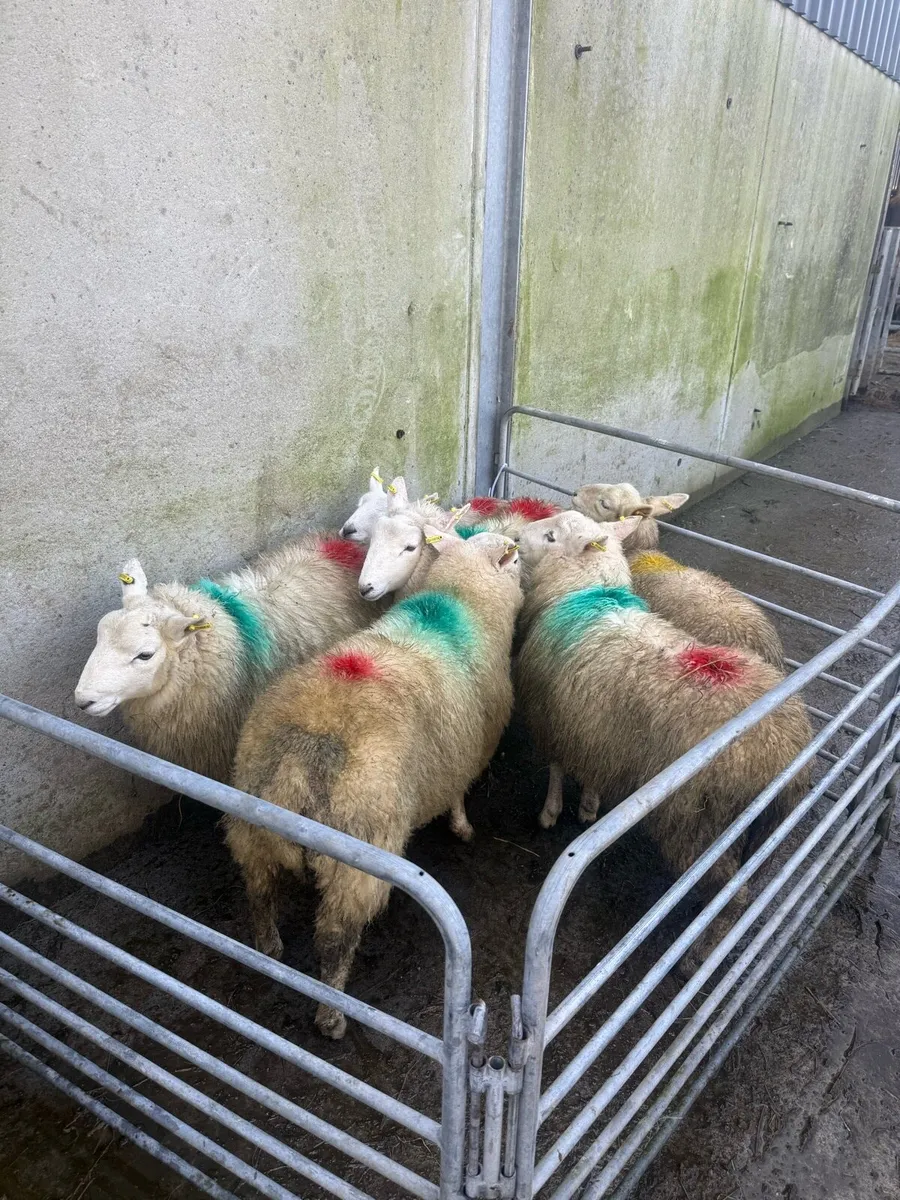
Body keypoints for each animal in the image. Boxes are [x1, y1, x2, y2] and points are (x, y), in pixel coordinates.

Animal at [224, 530, 523, 1037]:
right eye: (516, 558)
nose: (519, 550)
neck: (461, 601)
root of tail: (305, 755)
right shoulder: (468, 749)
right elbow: (458, 795)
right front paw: (463, 829)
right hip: (357, 853)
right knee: (334, 938)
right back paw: (332, 1015)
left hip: (253, 824)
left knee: (259, 891)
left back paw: (268, 947)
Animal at [515, 510, 811, 922]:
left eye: (551, 536)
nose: (513, 537)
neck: (583, 595)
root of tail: (784, 750)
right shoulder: (592, 728)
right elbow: (591, 772)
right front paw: (589, 806)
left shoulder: (550, 716)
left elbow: (556, 769)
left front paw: (550, 812)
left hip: (701, 824)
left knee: (729, 893)